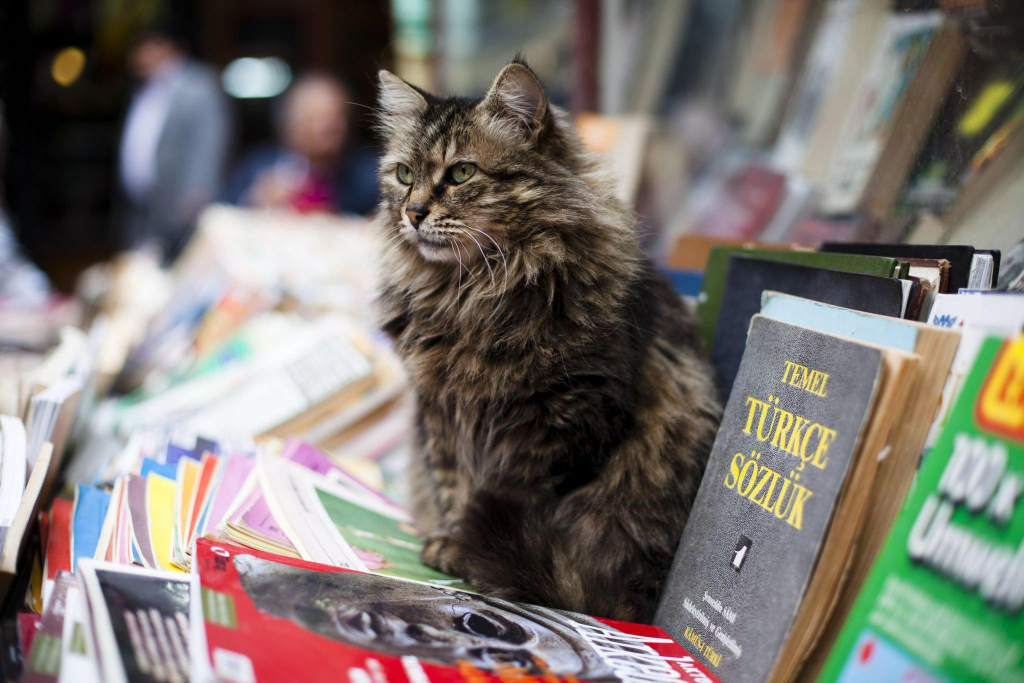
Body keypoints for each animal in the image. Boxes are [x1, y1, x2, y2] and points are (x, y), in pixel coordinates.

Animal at [374, 61, 720, 622]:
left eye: (461, 173)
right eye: (404, 175)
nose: (414, 212)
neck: (472, 293)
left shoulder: (564, 423)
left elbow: (510, 500)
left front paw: (469, 555)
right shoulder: (440, 413)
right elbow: (453, 487)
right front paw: (449, 542)